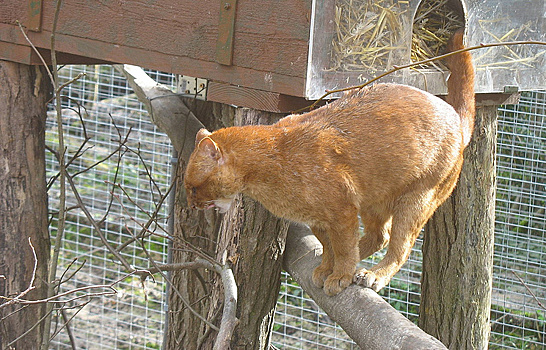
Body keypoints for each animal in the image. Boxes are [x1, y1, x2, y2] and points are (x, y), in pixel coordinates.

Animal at [184, 31, 472, 296]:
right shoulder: (319, 218)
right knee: (380, 236)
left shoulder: (341, 210)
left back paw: (373, 274)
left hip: (418, 199)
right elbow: (331, 245)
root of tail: (455, 117)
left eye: (193, 187)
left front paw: (340, 275)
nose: (191, 205)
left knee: (400, 246)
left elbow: (343, 246)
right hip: (374, 200)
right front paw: (326, 268)